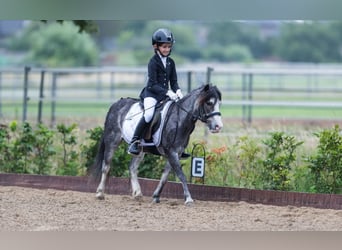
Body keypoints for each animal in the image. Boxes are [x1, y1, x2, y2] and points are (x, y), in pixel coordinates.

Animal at [91, 84, 223, 205]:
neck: (179, 120)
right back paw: (100, 193)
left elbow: (164, 177)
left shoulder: (176, 153)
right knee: (106, 166)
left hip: (140, 149)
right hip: (112, 141)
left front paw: (156, 196)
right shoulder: (172, 152)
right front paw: (189, 199)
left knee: (132, 167)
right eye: (209, 103)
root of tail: (117, 104)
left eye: (219, 104)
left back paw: (137, 194)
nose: (218, 127)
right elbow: (181, 175)